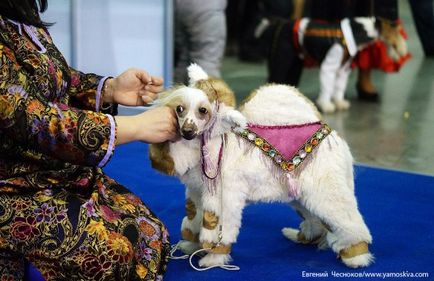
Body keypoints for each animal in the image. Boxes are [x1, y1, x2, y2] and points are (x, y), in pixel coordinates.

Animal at [149, 64, 372, 270]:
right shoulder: (196, 194)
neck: (215, 145)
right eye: (179, 109)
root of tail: (331, 133)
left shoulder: (223, 198)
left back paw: (357, 257)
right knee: (315, 221)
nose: (187, 131)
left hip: (327, 191)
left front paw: (213, 259)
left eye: (203, 111)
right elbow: (194, 220)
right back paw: (301, 236)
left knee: (348, 221)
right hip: (301, 195)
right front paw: (192, 247)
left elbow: (217, 232)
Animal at [262, 16, 410, 112]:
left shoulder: (343, 69)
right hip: (282, 58)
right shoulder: (329, 67)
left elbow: (339, 87)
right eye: (398, 32)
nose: (403, 52)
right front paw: (326, 105)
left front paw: (340, 103)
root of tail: (281, 22)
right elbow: (328, 88)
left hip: (295, 62)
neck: (357, 32)